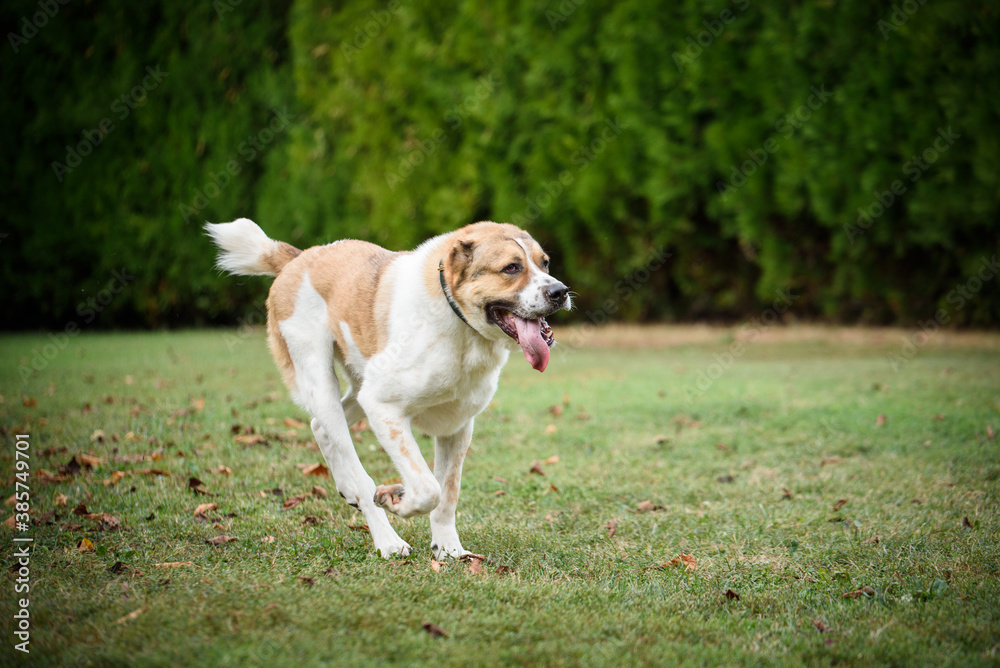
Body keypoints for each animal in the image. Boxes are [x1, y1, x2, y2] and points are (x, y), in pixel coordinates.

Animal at [205, 219, 572, 560]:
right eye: (511, 267)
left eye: (545, 263)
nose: (561, 291)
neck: (457, 321)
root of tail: (300, 257)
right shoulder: (384, 408)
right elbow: (428, 487)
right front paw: (397, 501)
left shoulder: (456, 427)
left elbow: (447, 494)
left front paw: (447, 548)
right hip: (323, 383)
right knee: (354, 465)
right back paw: (387, 538)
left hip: (357, 388)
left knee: (318, 427)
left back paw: (349, 492)